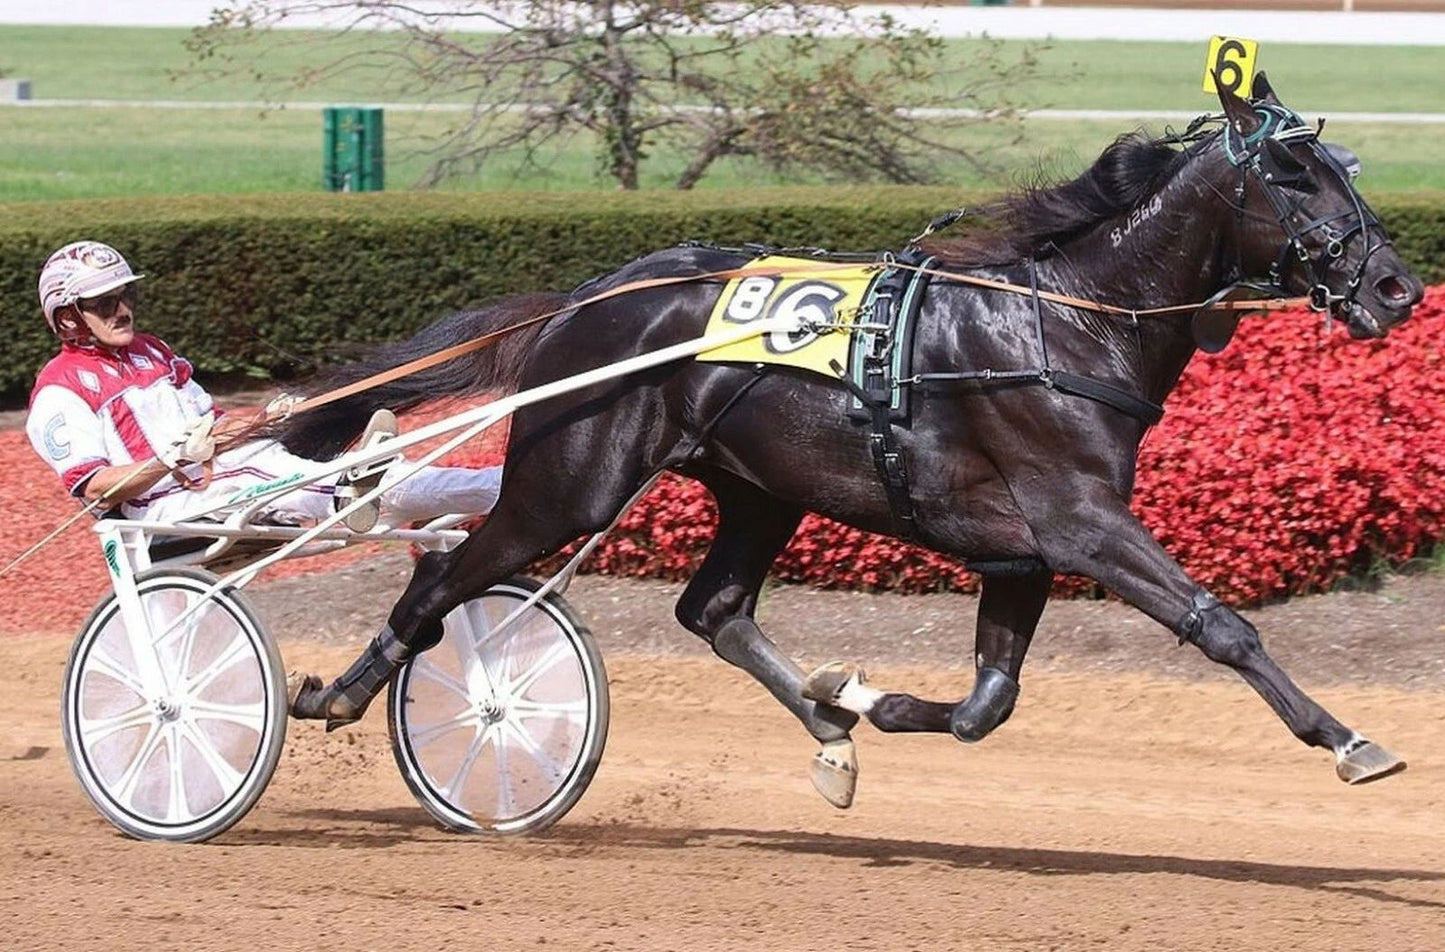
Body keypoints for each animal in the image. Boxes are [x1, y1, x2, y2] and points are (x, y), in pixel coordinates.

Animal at [282, 73, 1424, 808]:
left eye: (1342, 166)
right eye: (1294, 176)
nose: (1394, 287)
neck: (1062, 321)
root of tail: (587, 296)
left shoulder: (1019, 550)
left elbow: (986, 704)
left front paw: (863, 696)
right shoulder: (1079, 522)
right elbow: (1217, 625)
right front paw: (1346, 739)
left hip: (759, 486)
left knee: (712, 608)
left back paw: (828, 731)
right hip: (568, 484)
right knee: (442, 582)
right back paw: (337, 692)